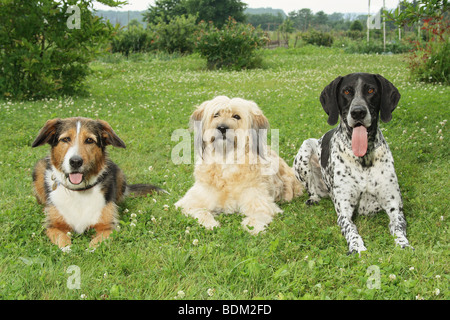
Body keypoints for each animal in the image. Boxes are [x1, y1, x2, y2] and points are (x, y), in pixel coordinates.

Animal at [32, 118, 165, 250]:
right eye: (65, 139)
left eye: (89, 140)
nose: (75, 162)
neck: (79, 191)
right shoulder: (53, 226)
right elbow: (62, 239)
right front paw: (67, 249)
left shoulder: (108, 227)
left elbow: (96, 244)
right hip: (38, 168)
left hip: (119, 173)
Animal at [175, 96, 302, 234]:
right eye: (216, 114)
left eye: (236, 116)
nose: (222, 128)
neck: (226, 161)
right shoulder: (190, 202)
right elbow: (202, 212)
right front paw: (210, 224)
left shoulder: (261, 203)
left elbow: (256, 217)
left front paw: (253, 228)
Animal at [294, 73, 414, 255]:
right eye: (346, 91)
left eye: (371, 90)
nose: (358, 112)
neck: (363, 159)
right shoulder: (344, 212)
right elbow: (352, 230)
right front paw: (357, 247)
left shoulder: (395, 208)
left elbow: (398, 228)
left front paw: (403, 243)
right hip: (305, 149)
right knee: (311, 189)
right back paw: (313, 198)